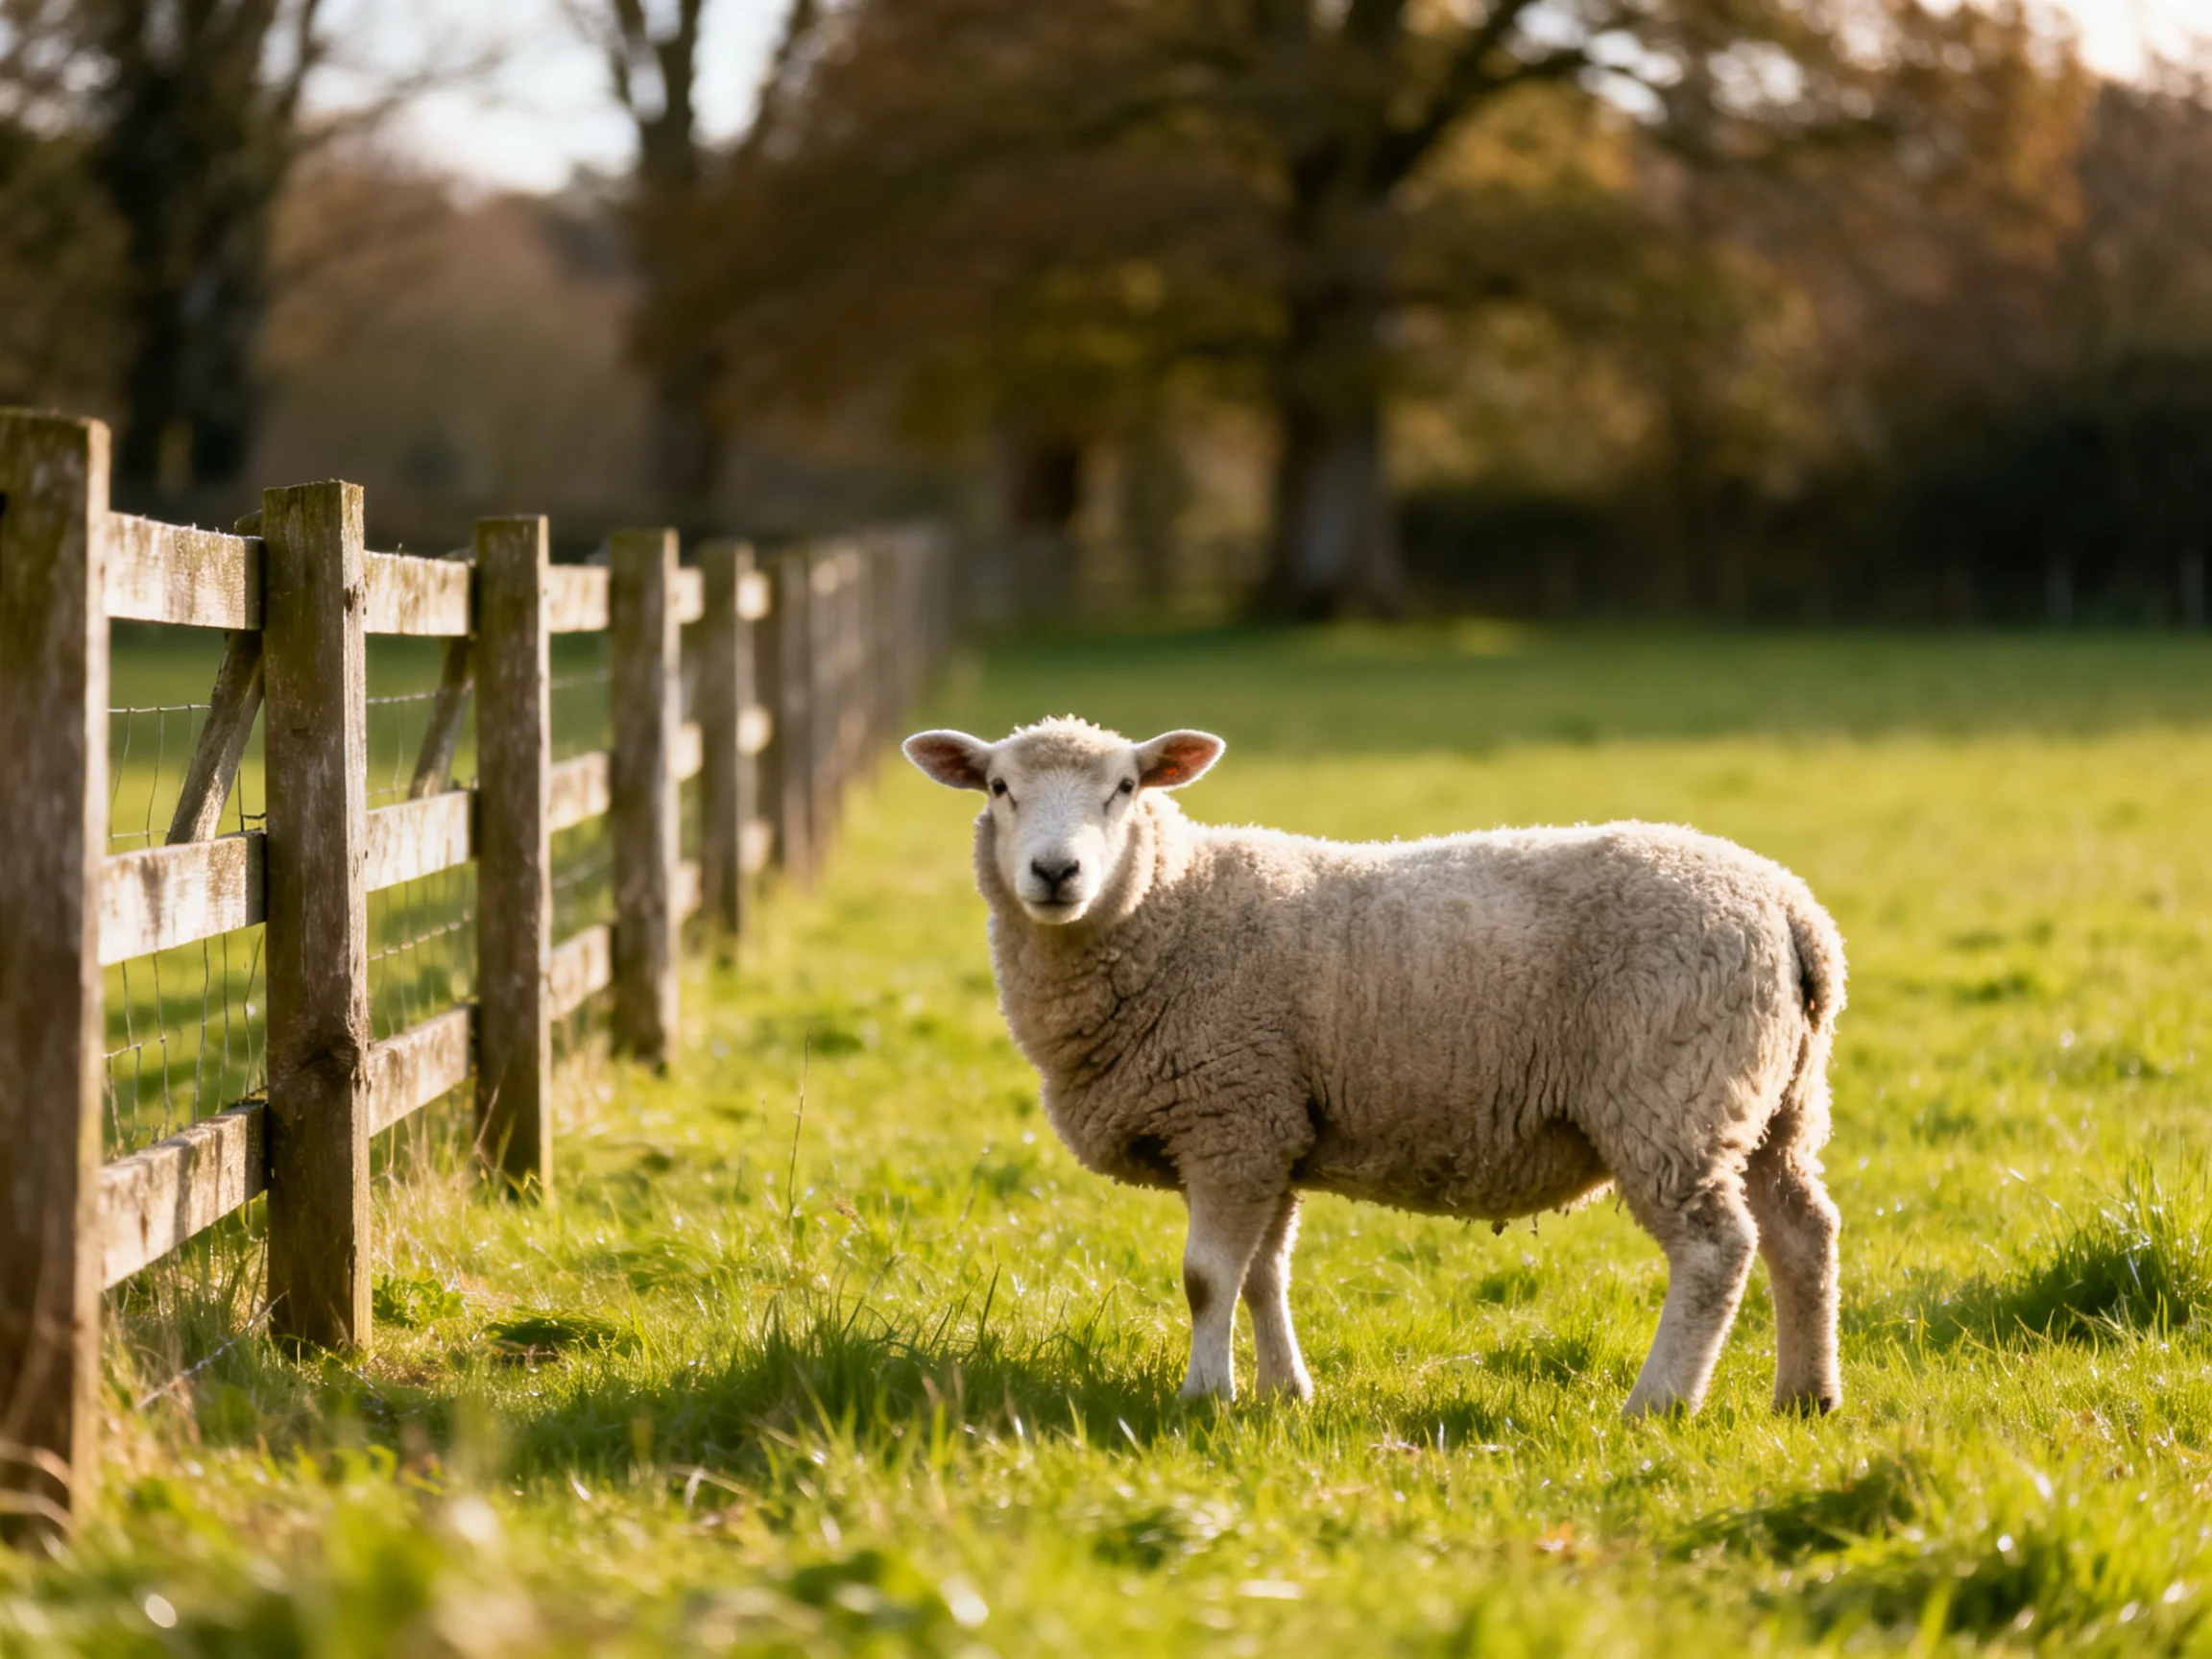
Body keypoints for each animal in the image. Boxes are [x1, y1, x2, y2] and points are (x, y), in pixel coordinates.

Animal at [903, 716, 1847, 1419]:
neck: (1171, 907)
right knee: (1804, 1233)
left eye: (1127, 789)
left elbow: (1207, 1279)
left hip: (1672, 1098)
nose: (1054, 871)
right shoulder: (1271, 1125)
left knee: (1716, 1251)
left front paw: (1205, 1396)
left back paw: (1658, 1403)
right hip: (1777, 1102)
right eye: (999, 788)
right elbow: (1262, 1275)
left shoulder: (1229, 1119)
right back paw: (1806, 1396)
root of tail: (1789, 906)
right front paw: (1285, 1393)